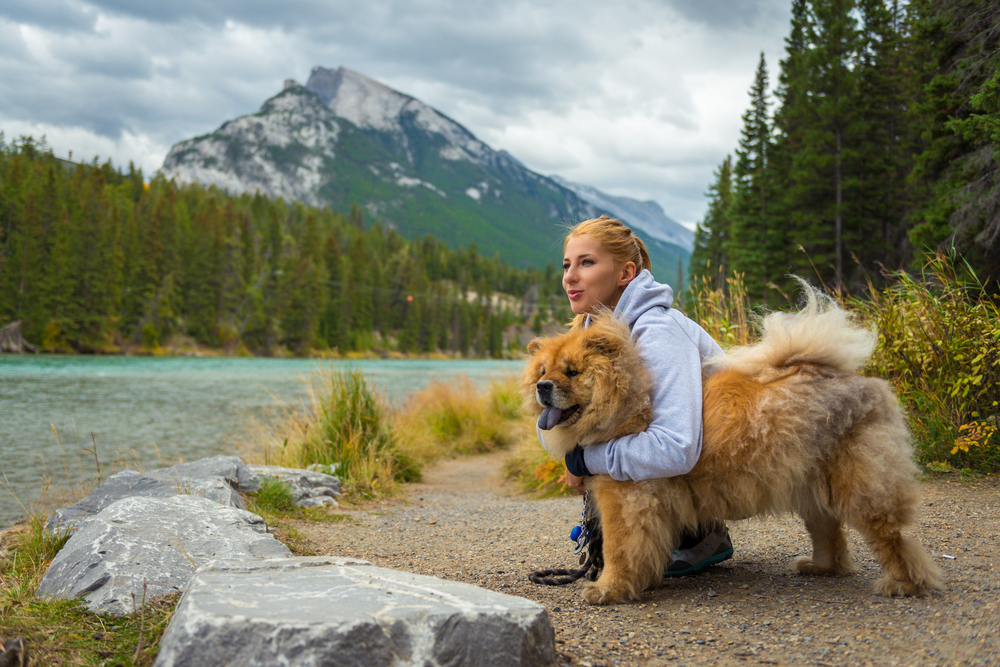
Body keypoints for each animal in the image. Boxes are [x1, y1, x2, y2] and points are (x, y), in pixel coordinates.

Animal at [524, 288, 944, 604]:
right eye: (544, 371)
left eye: (572, 372)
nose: (542, 387)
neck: (629, 398)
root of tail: (856, 381)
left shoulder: (626, 498)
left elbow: (619, 549)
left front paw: (608, 589)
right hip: (809, 483)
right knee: (829, 532)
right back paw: (821, 566)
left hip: (860, 485)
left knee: (891, 536)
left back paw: (904, 583)